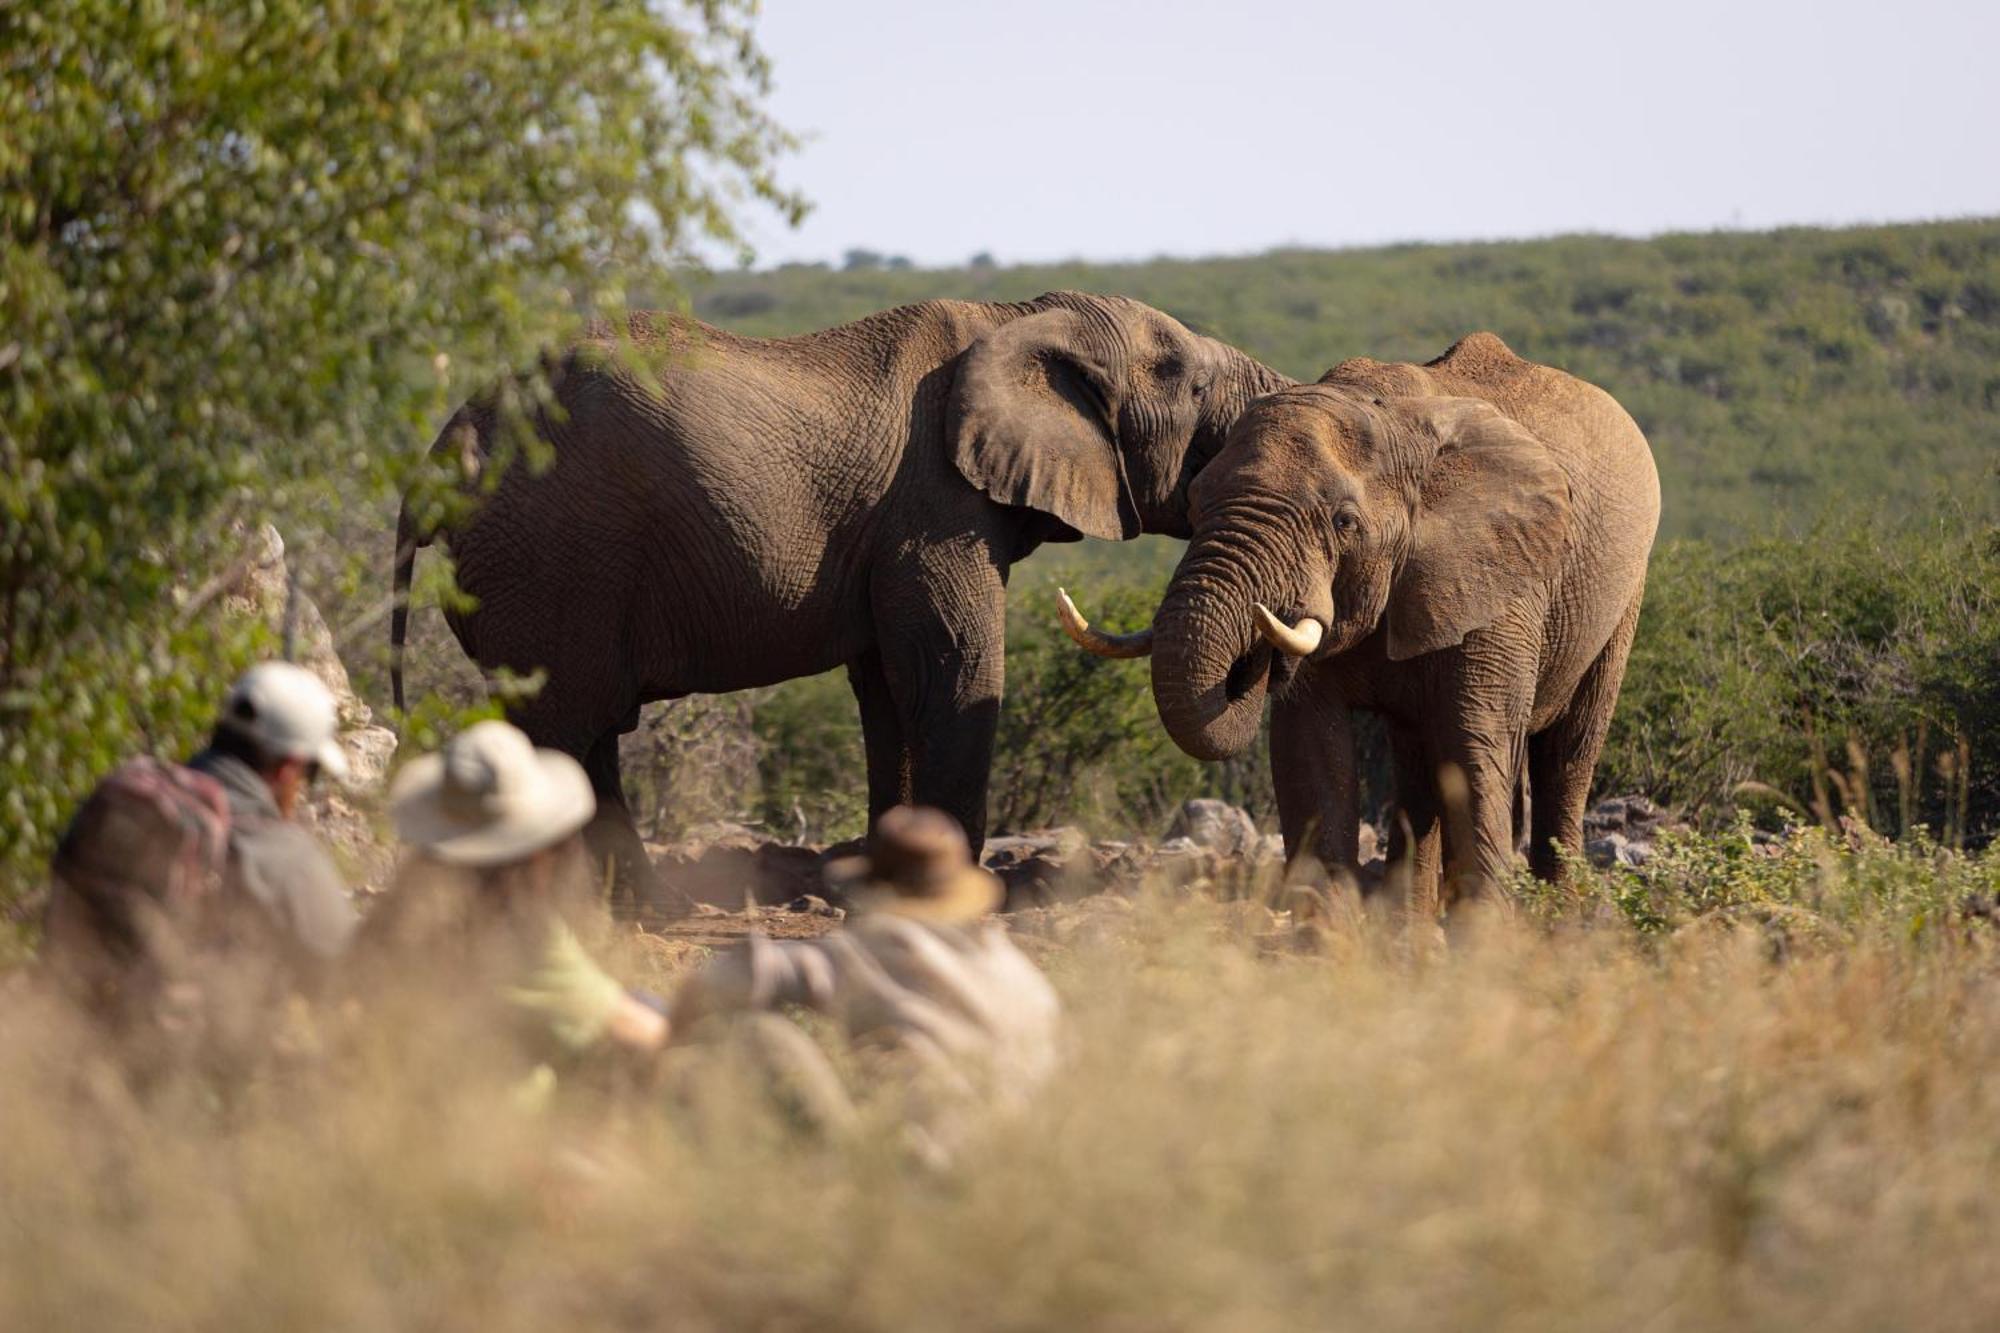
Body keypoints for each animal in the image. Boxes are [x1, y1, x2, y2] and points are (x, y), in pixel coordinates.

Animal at [392, 290, 1288, 904]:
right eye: (1190, 382)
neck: (1022, 317)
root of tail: (452, 434)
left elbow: (887, 688)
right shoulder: (935, 507)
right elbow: (953, 670)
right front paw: (963, 894)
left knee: (584, 736)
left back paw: (642, 906)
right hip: (555, 555)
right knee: (565, 727)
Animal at [1064, 334, 1656, 924]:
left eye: (1343, 521)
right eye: (1192, 504)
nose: (1256, 653)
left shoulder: (1495, 582)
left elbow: (1474, 746)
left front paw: (1485, 940)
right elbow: (1309, 747)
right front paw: (1328, 938)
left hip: (1622, 596)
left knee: (1567, 756)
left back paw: (1560, 926)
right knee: (1417, 763)